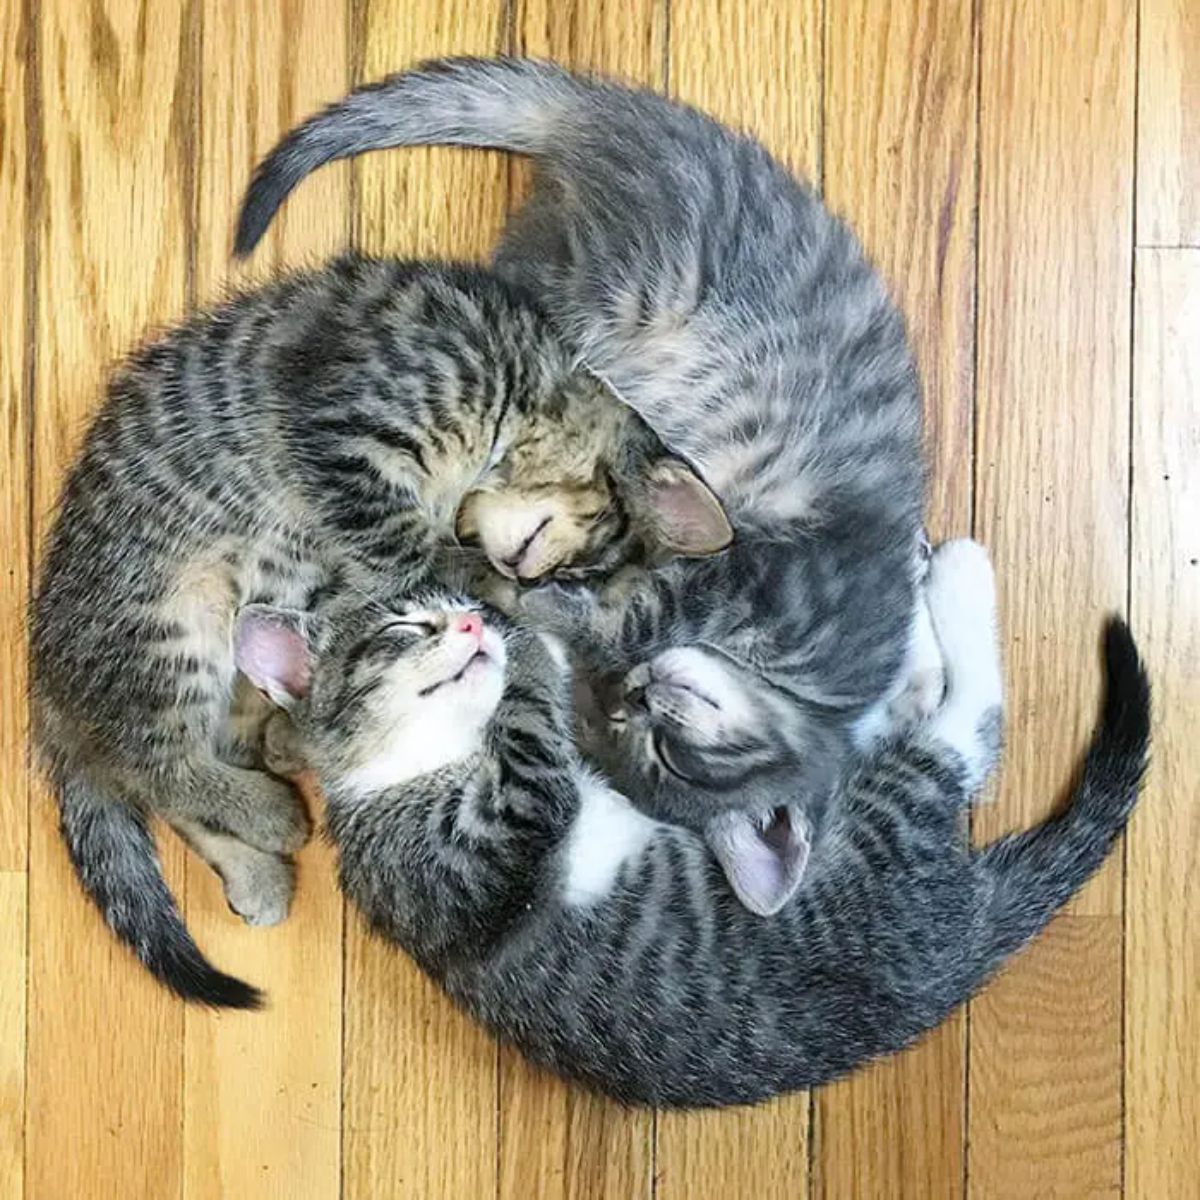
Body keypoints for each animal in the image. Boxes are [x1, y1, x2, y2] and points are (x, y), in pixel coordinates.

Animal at [28, 255, 720, 1012]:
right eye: (576, 563)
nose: (527, 573)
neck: (524, 386)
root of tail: (48, 673)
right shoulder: (349, 438)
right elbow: (408, 557)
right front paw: (481, 589)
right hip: (170, 623)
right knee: (151, 762)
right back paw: (269, 814)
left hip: (244, 629)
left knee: (183, 758)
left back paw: (260, 848)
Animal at [236, 56, 926, 912]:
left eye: (662, 748)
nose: (642, 696)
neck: (818, 693)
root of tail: (617, 112)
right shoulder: (759, 577)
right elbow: (617, 612)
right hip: (603, 282)